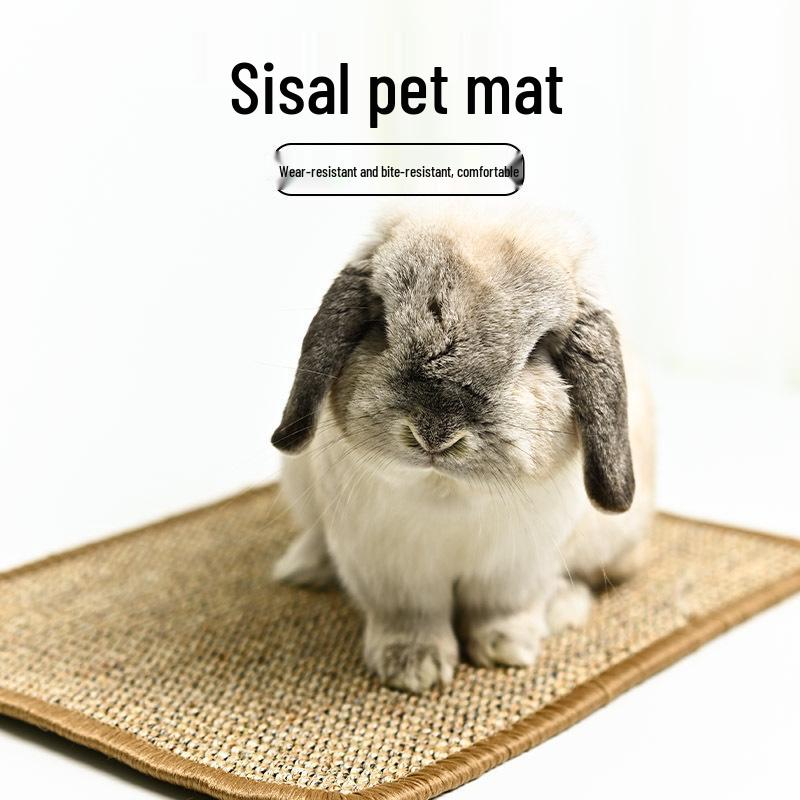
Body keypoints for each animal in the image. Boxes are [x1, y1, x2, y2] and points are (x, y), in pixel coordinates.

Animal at [271, 206, 655, 693]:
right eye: (381, 325)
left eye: (537, 351)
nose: (434, 434)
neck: (447, 490)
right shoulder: (389, 569)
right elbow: (411, 617)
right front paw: (413, 669)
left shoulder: (516, 570)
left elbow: (500, 611)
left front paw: (506, 650)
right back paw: (303, 567)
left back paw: (561, 610)